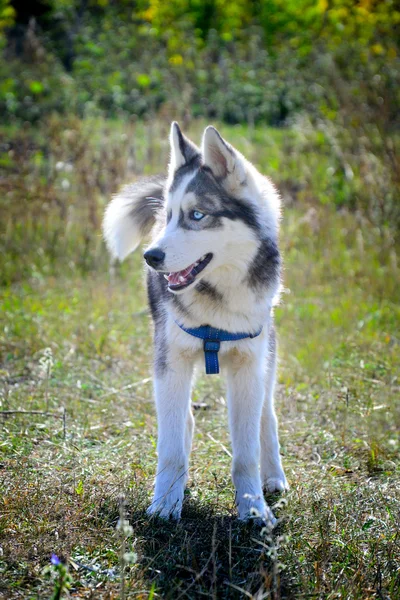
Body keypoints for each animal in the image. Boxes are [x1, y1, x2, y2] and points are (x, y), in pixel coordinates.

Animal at [103, 122, 288, 520]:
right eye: (171, 216)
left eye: (198, 215)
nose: (151, 256)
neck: (216, 301)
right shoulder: (170, 362)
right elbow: (170, 446)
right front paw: (165, 503)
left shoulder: (248, 365)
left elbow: (246, 451)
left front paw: (253, 507)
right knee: (183, 419)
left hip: (267, 357)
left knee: (267, 416)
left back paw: (274, 476)